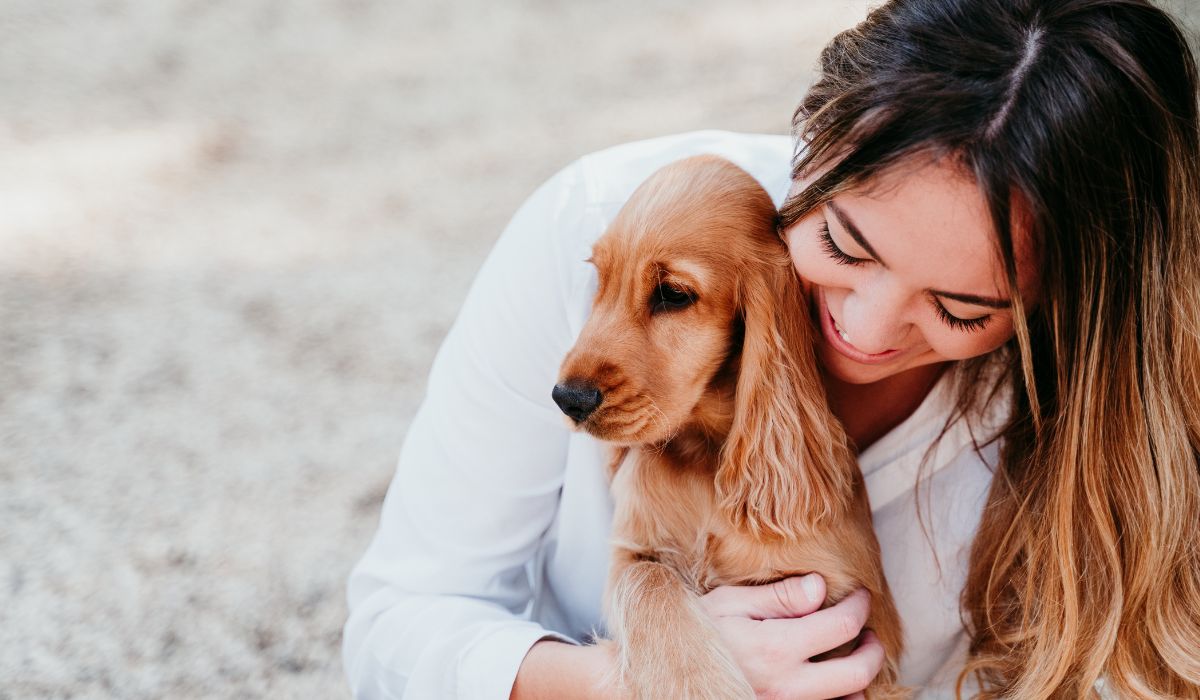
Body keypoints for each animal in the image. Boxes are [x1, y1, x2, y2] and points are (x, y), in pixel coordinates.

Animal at [549, 156, 902, 696]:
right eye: (600, 281)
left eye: (673, 294)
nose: (567, 398)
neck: (704, 450)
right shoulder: (632, 553)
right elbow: (648, 584)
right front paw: (698, 683)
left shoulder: (854, 609)